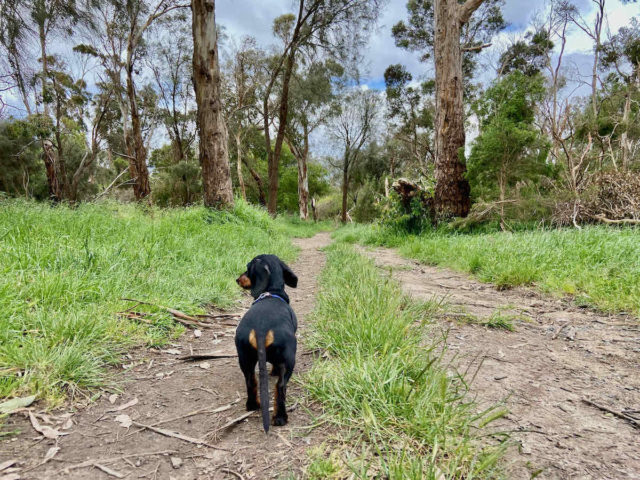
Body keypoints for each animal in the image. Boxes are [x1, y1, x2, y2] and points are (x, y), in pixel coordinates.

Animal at [235, 255, 298, 432]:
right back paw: (280, 417)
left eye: (247, 268)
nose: (237, 279)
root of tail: (261, 328)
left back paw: (252, 405)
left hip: (245, 358)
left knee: (250, 381)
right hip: (289, 360)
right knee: (280, 387)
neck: (272, 292)